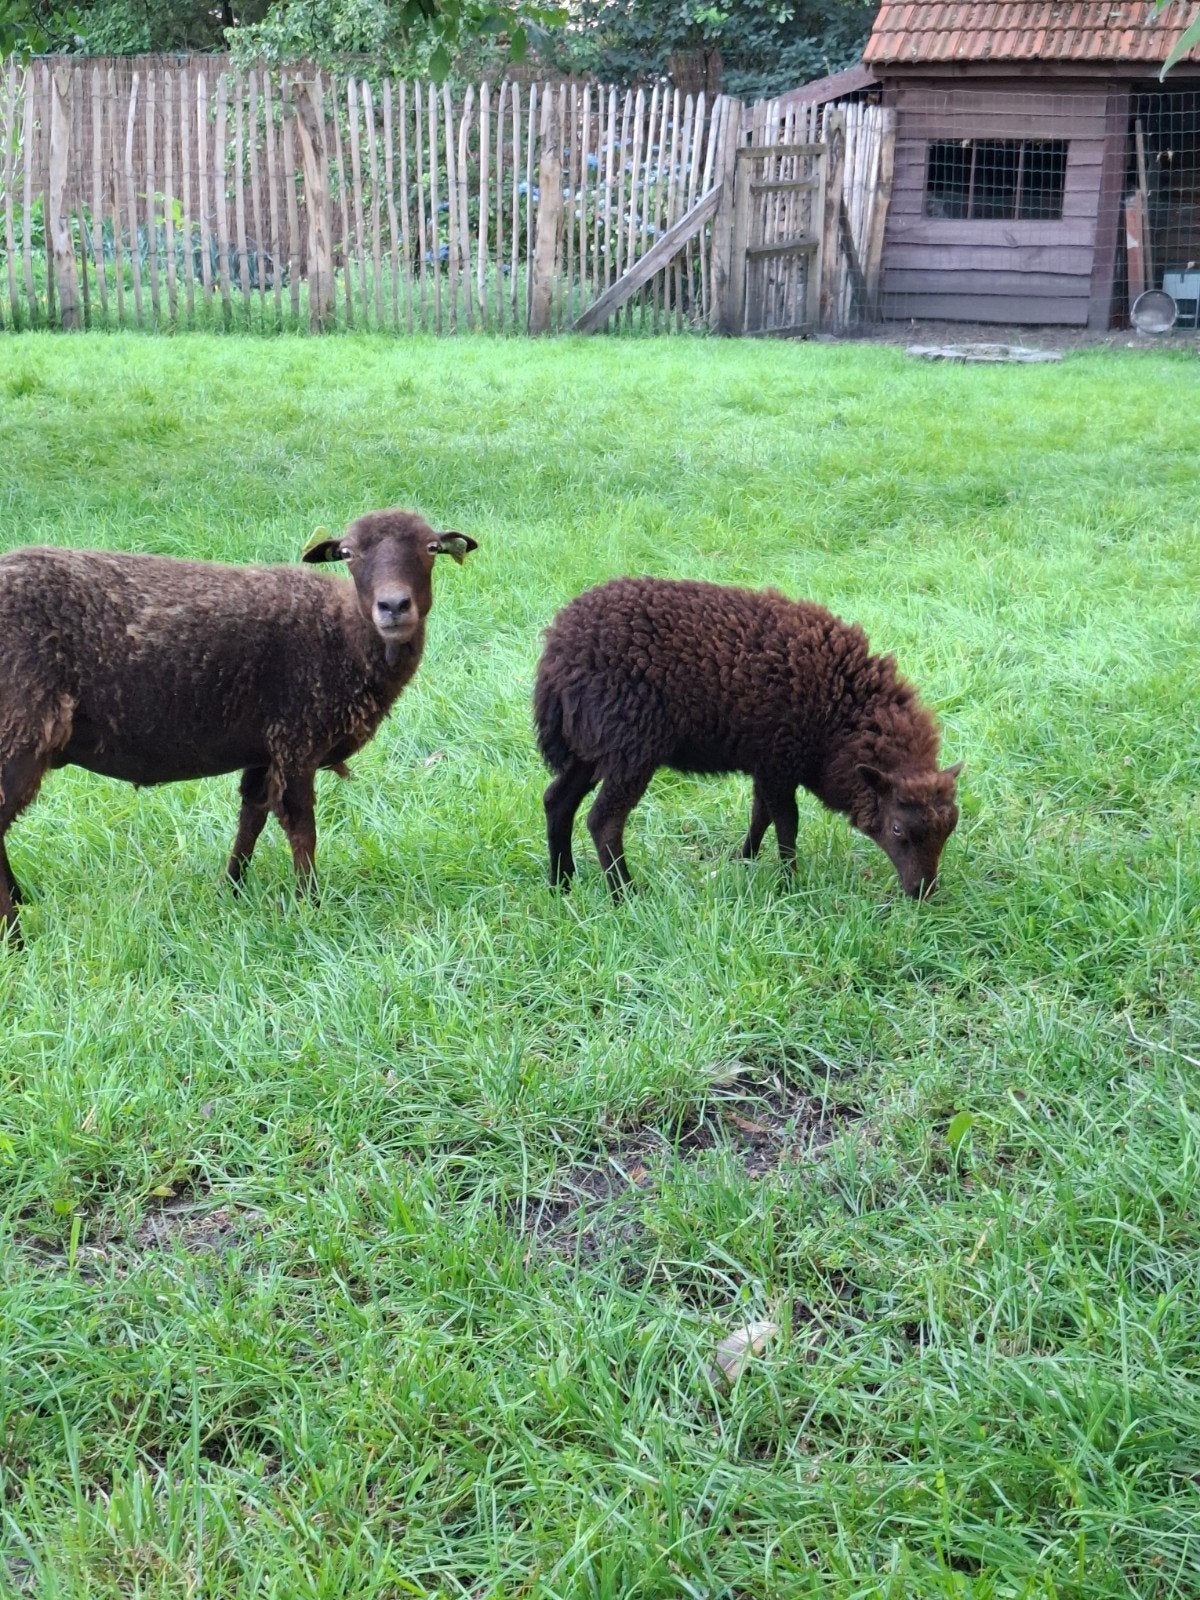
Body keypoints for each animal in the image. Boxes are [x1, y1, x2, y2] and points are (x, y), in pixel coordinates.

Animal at [0, 509, 478, 940]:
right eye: (347, 552)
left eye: (431, 548)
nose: (393, 606)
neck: (343, 634)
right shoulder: (296, 737)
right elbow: (302, 828)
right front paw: (310, 906)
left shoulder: (264, 747)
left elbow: (252, 817)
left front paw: (230, 889)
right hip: (19, 730)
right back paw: (15, 936)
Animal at [534, 577, 962, 901]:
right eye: (897, 829)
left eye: (949, 830)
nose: (923, 893)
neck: (844, 715)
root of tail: (556, 653)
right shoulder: (779, 758)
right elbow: (787, 822)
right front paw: (789, 883)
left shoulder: (767, 762)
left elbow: (761, 815)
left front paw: (746, 860)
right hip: (630, 747)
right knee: (603, 821)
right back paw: (625, 895)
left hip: (591, 746)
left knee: (557, 801)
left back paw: (561, 883)